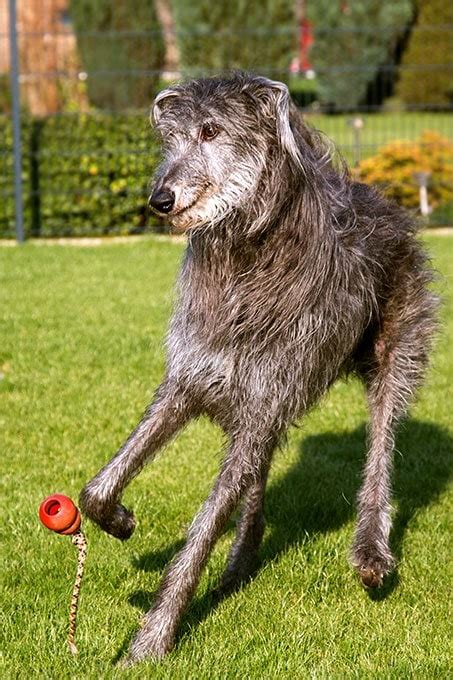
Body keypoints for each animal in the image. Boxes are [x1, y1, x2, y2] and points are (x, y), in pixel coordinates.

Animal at [79, 74, 436, 664]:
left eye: (211, 130)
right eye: (170, 138)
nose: (159, 199)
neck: (246, 254)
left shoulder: (262, 400)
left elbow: (202, 530)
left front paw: (150, 643)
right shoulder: (190, 381)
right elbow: (97, 489)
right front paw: (121, 521)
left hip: (395, 350)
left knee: (381, 443)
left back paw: (371, 550)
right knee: (261, 472)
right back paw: (243, 560)